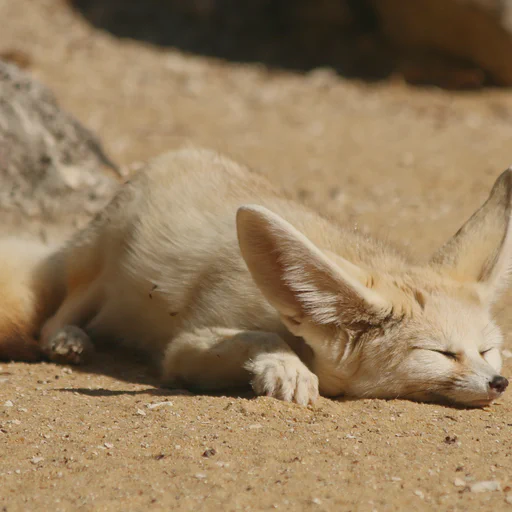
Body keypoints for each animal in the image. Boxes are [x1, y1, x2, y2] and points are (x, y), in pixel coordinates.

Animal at [0, 149, 510, 408]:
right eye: (441, 354)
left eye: (488, 350)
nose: (499, 383)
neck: (280, 306)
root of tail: (175, 155)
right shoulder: (182, 349)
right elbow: (262, 337)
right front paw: (286, 370)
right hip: (98, 264)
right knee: (55, 315)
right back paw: (68, 339)